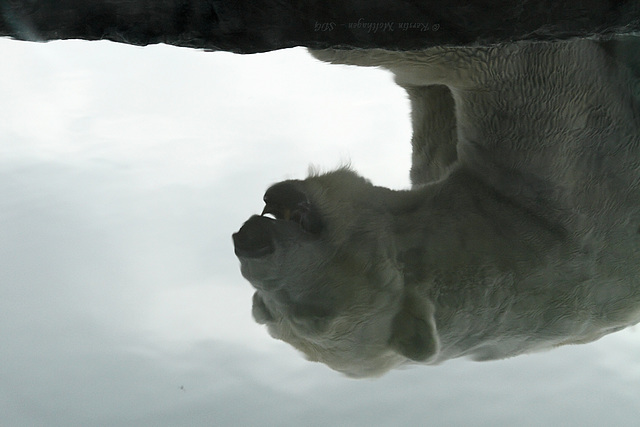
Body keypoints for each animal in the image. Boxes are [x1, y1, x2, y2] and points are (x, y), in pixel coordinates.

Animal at [232, 36, 640, 378]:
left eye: (314, 316)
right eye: (266, 307)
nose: (249, 240)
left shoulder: (560, 192)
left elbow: (514, 69)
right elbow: (434, 110)